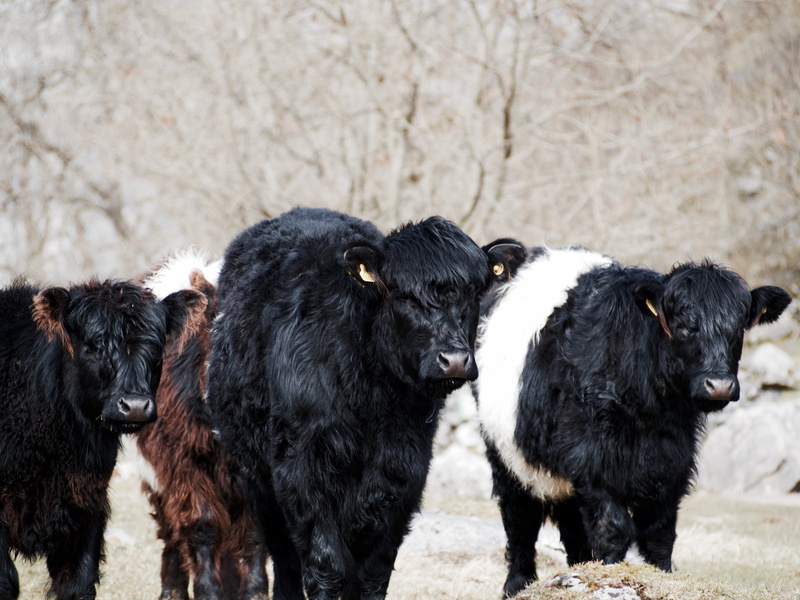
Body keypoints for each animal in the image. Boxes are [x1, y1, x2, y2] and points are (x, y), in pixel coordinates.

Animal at [0, 277, 206, 600]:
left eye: (157, 345)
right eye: (94, 345)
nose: (135, 405)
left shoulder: (86, 507)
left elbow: (79, 581)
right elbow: (6, 580)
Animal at [135, 251, 269, 600]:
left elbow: (253, 531)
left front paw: (254, 591)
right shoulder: (183, 465)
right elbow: (201, 526)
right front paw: (208, 590)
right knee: (171, 531)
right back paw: (173, 589)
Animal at [206, 207, 520, 600]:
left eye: (475, 294)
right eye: (404, 296)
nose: (455, 360)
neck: (372, 401)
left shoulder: (404, 472)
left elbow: (372, 572)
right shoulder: (302, 469)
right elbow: (326, 565)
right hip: (256, 475)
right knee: (284, 557)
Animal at [473, 245, 792, 598]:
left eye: (739, 330)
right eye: (682, 326)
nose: (719, 385)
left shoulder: (672, 466)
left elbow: (659, 535)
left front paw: (660, 577)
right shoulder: (593, 463)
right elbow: (613, 530)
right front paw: (611, 576)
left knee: (572, 530)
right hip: (507, 457)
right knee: (519, 522)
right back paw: (517, 585)